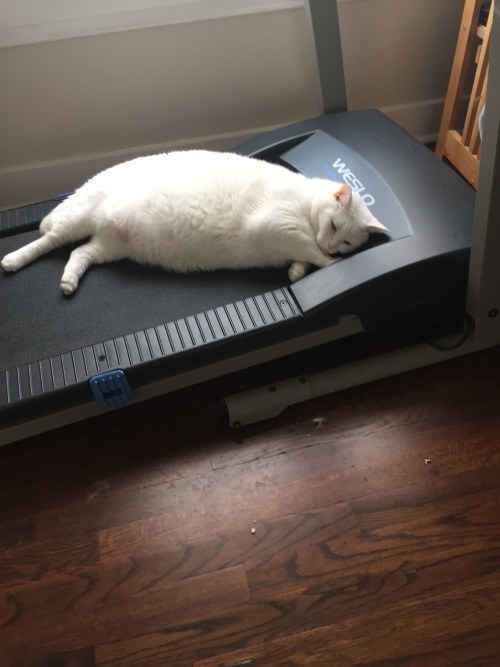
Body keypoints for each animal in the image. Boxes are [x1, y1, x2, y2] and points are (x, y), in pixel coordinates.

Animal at [0, 154, 386, 298]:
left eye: (348, 241)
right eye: (334, 225)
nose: (336, 247)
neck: (306, 204)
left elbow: (302, 257)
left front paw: (296, 271)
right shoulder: (275, 225)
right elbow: (309, 250)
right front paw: (329, 264)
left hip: (109, 247)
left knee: (80, 252)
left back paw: (68, 282)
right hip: (78, 217)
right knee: (49, 239)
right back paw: (13, 260)